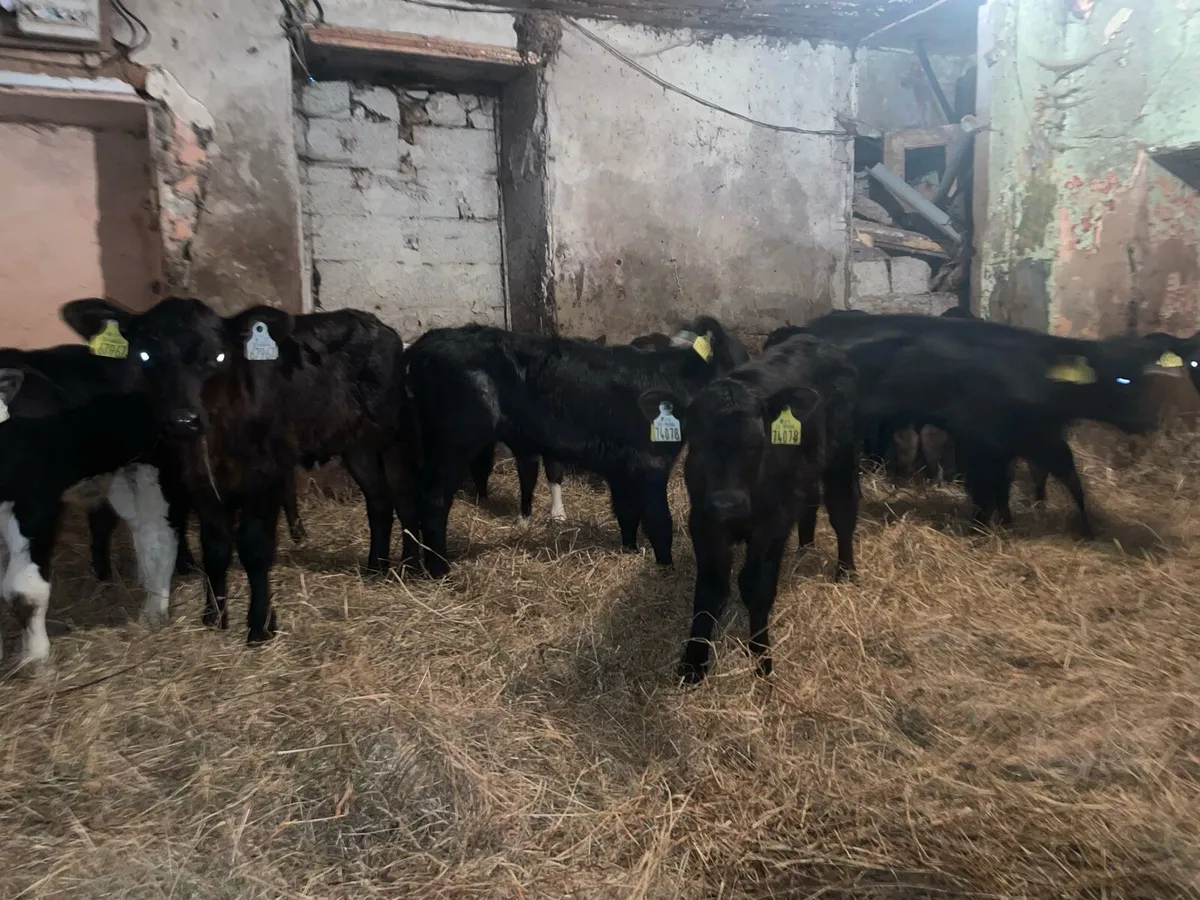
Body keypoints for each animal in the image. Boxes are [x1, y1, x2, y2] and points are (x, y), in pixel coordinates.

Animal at [0, 364, 176, 666]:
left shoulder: (35, 503)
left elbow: (24, 591)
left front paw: (35, 658)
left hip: (150, 470)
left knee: (160, 538)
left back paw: (154, 610)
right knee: (143, 534)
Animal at [61, 296, 415, 645]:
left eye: (219, 356)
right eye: (145, 355)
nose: (183, 420)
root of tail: (374, 324)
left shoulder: (265, 477)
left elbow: (254, 547)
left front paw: (260, 626)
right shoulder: (200, 483)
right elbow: (214, 547)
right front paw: (214, 617)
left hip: (389, 437)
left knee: (399, 497)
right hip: (356, 446)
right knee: (378, 500)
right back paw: (376, 567)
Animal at [402, 317, 749, 577]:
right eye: (740, 359)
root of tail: (425, 344)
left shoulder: (620, 468)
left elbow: (627, 513)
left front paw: (629, 551)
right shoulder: (650, 463)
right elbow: (659, 521)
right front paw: (665, 570)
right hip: (455, 440)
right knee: (434, 498)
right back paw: (440, 570)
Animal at [639, 332, 858, 682]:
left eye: (757, 443)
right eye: (697, 444)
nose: (726, 502)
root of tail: (816, 339)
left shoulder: (772, 522)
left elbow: (756, 585)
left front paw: (761, 657)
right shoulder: (704, 520)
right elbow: (711, 587)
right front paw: (693, 663)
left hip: (843, 454)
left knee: (843, 510)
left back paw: (846, 571)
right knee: (809, 501)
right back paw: (805, 546)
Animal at [772, 313, 1162, 535]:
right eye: (1121, 380)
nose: (1150, 421)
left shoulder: (1022, 441)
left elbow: (1012, 484)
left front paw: (1008, 522)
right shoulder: (983, 440)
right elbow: (986, 488)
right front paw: (980, 529)